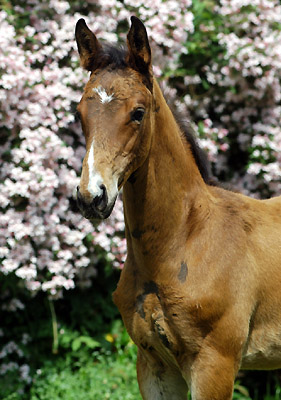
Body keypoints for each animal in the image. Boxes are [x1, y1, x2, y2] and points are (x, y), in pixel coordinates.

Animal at [74, 16, 280, 400]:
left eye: (138, 113)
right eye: (80, 113)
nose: (91, 197)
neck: (182, 242)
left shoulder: (214, 365)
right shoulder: (154, 365)